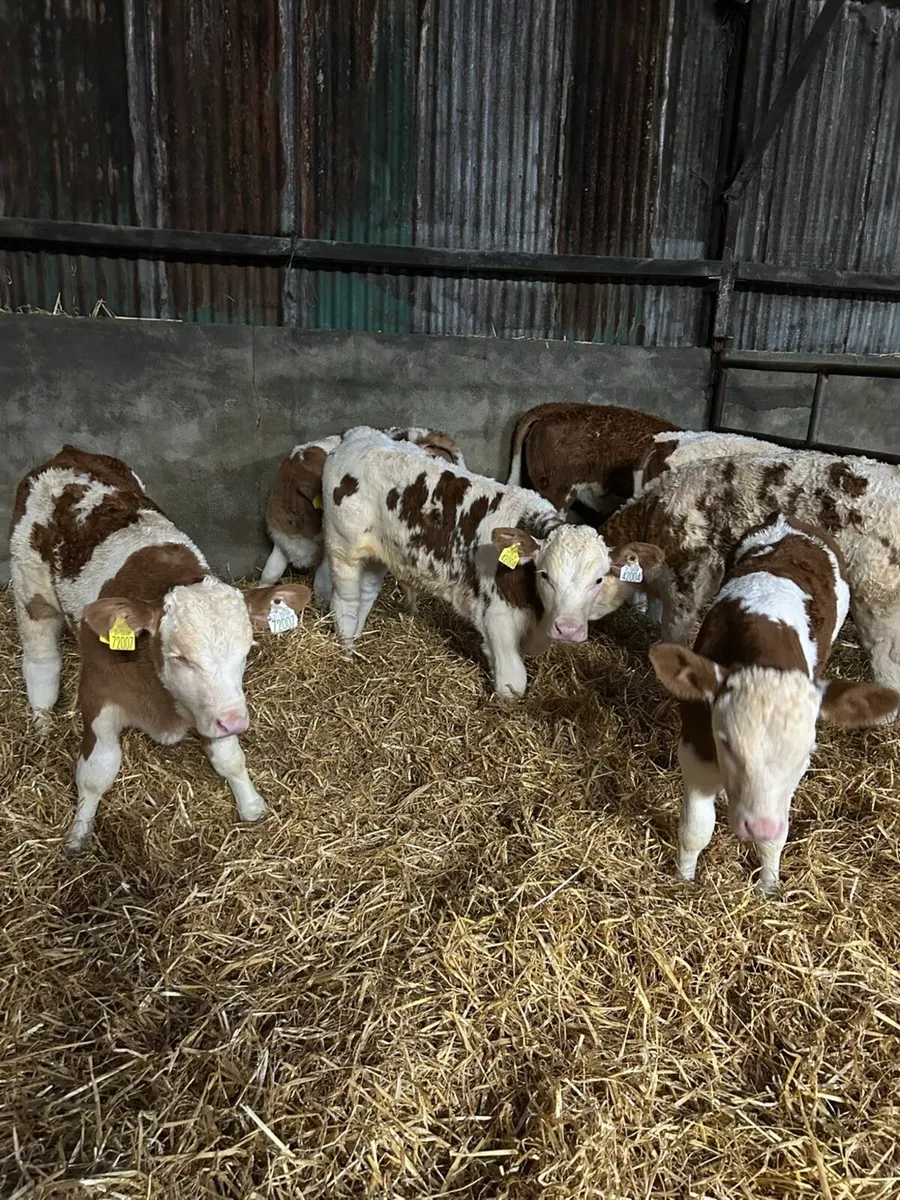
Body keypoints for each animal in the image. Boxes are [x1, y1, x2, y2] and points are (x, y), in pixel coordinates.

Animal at [10, 446, 310, 855]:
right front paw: (78, 836)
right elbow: (97, 771)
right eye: (179, 656)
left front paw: (251, 805)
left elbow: (229, 757)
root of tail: (68, 454)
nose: (236, 722)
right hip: (30, 587)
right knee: (41, 662)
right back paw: (41, 725)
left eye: (247, 651)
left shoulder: (215, 704)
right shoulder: (98, 695)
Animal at [321, 426, 664, 696]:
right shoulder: (496, 616)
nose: (567, 629)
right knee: (345, 601)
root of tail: (360, 435)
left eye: (599, 579)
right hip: (342, 548)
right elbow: (513, 683)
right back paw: (347, 649)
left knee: (365, 595)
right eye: (545, 574)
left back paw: (357, 641)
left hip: (376, 554)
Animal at [649, 514, 899, 891]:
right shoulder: (695, 743)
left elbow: (775, 838)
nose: (758, 825)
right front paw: (684, 879)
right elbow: (696, 829)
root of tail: (788, 520)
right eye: (726, 742)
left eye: (807, 753)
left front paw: (769, 885)